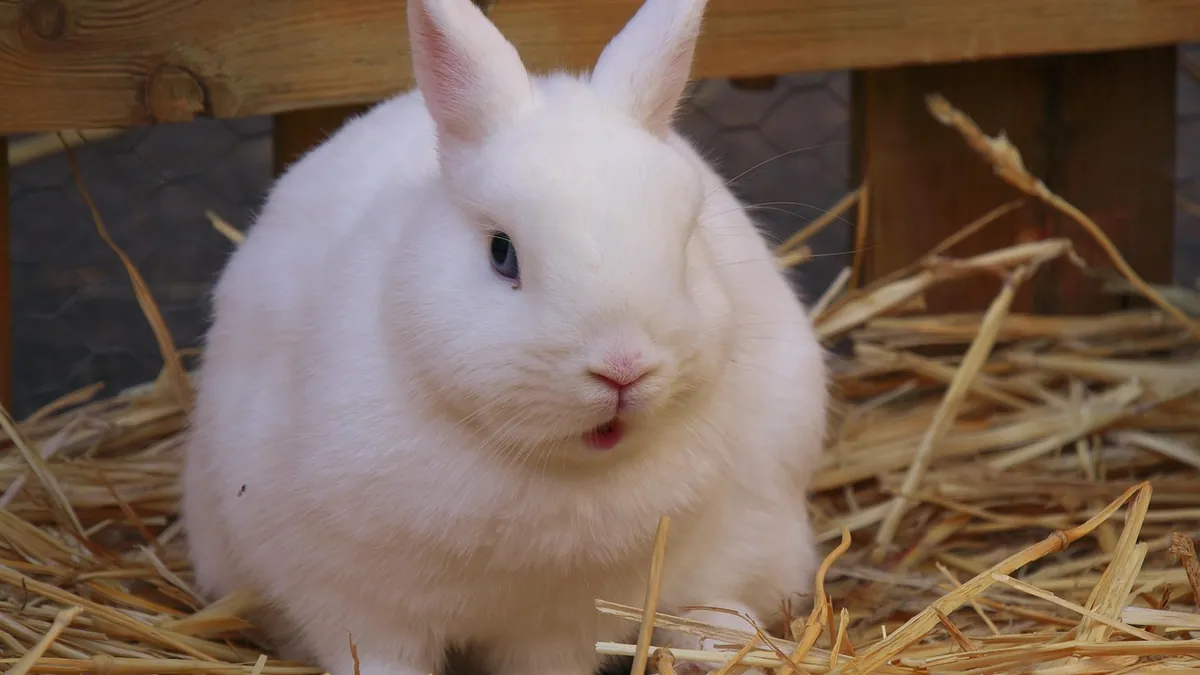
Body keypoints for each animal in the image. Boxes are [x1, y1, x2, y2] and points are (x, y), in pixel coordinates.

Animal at [180, 0, 829, 674]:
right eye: (502, 253)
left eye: (683, 248)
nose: (622, 368)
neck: (548, 471)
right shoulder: (359, 606)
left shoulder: (562, 627)